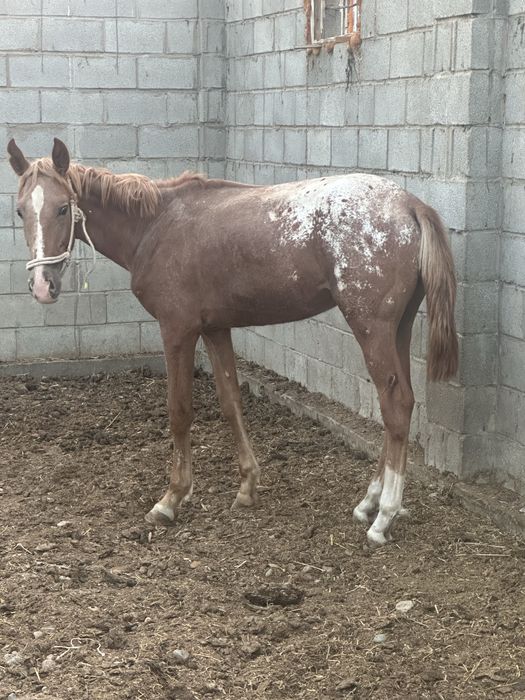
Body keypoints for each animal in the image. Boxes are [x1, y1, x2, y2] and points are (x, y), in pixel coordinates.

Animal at [7, 138, 458, 546]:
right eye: (20, 210)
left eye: (62, 208)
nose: (42, 286)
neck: (156, 226)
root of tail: (408, 203)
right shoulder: (215, 329)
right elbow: (230, 402)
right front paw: (247, 487)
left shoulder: (177, 330)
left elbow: (180, 410)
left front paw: (171, 499)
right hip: (397, 330)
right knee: (400, 405)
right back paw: (370, 502)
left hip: (371, 329)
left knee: (394, 405)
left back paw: (383, 517)